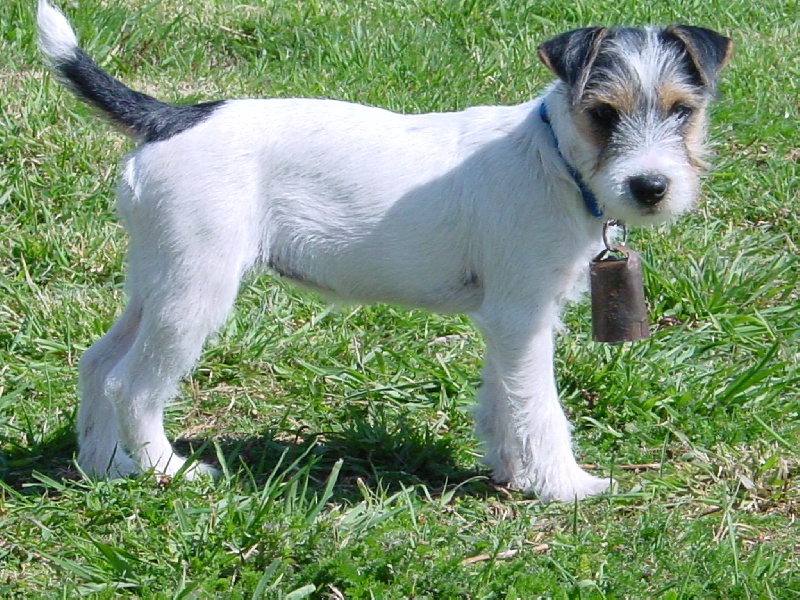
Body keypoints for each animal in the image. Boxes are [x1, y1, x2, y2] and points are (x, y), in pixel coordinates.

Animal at [37, 0, 731, 502]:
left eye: (682, 111)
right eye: (604, 113)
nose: (651, 187)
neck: (554, 157)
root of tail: (171, 117)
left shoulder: (512, 320)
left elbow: (505, 398)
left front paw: (509, 470)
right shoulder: (522, 316)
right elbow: (539, 407)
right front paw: (565, 486)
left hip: (158, 279)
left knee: (97, 363)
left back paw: (104, 465)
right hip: (195, 291)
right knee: (131, 384)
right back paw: (166, 471)